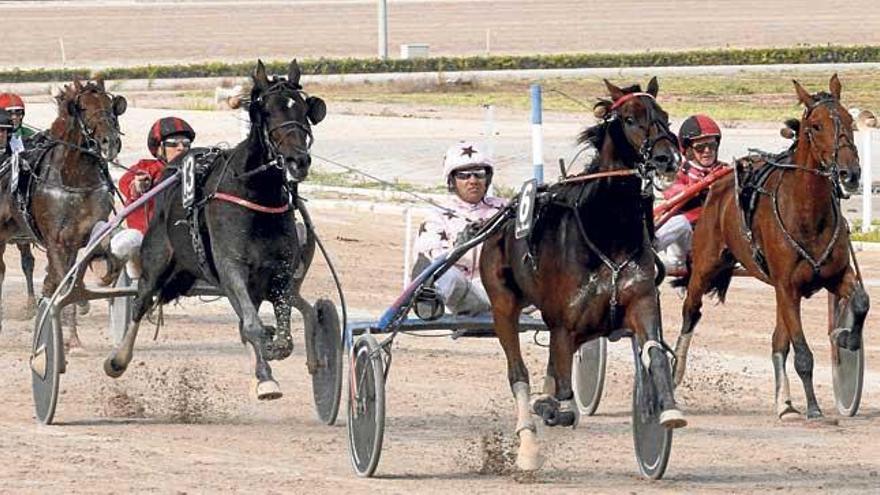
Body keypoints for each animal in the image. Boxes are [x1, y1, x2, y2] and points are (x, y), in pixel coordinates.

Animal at [0, 78, 125, 348]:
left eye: (111, 105)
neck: (74, 179)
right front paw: (69, 336)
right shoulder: (55, 241)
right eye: (84, 108)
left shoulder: (83, 238)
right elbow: (63, 282)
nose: (110, 142)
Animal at [103, 61, 328, 404]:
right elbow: (252, 326)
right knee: (141, 302)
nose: (297, 161)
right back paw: (118, 359)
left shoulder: (279, 271)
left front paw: (272, 354)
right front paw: (265, 372)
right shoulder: (230, 265)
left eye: (304, 109)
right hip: (156, 259)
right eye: (267, 111)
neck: (255, 193)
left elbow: (280, 333)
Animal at [482, 78, 688, 472]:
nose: (666, 158)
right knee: (518, 372)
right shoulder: (565, 321)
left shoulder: (641, 302)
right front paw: (550, 408)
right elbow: (562, 397)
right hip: (503, 305)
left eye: (665, 115)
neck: (607, 233)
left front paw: (665, 411)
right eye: (629, 118)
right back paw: (528, 444)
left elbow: (654, 355)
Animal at [672, 74, 868, 422]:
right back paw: (675, 372)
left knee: (778, 339)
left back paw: (785, 404)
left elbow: (860, 302)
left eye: (848, 120)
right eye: (816, 125)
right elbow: (803, 353)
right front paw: (814, 408)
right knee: (691, 311)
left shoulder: (834, 275)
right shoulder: (788, 287)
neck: (807, 212)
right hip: (706, 266)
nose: (850, 174)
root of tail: (715, 187)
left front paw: (844, 336)